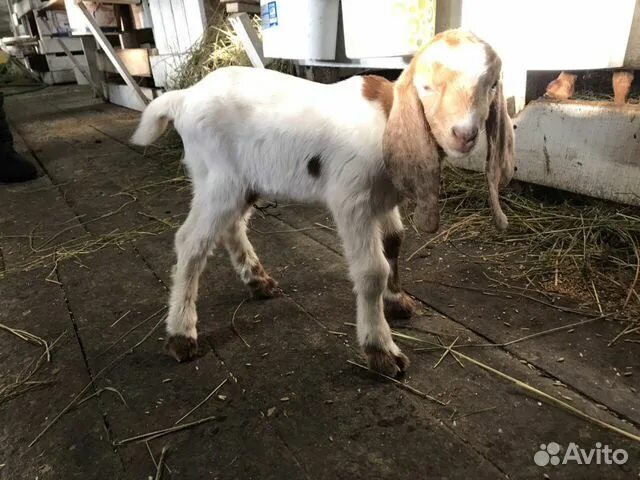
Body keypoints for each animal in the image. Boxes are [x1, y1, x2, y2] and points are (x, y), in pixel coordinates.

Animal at [131, 29, 516, 378]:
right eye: (426, 86)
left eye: (490, 85)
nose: (463, 135)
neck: (386, 119)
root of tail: (184, 97)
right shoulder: (352, 199)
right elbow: (372, 270)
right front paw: (381, 350)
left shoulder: (383, 199)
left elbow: (394, 242)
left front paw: (396, 302)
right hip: (218, 178)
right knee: (191, 242)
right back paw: (181, 334)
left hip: (236, 181)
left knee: (230, 227)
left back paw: (257, 281)